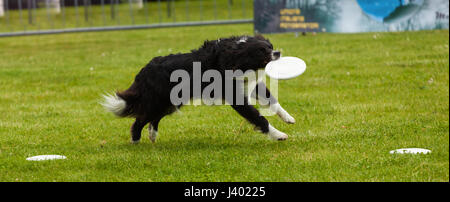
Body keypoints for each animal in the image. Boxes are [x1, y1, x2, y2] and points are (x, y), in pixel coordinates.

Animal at [103, 34, 298, 143]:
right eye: (262, 50)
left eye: (270, 47)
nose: (278, 52)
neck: (236, 54)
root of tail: (143, 71)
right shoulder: (235, 96)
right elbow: (258, 117)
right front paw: (279, 135)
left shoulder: (249, 83)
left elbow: (272, 100)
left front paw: (288, 118)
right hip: (158, 101)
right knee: (140, 119)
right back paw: (136, 141)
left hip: (171, 102)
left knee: (152, 118)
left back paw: (152, 135)